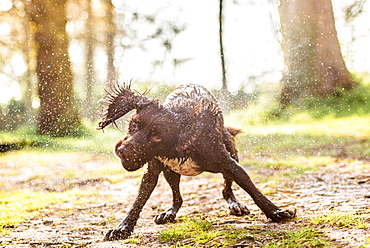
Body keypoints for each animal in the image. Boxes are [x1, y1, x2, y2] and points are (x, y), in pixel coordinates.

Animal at [97, 83, 294, 240]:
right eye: (134, 124)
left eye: (157, 137)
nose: (122, 151)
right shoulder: (152, 170)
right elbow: (138, 201)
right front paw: (123, 228)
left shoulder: (229, 163)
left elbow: (253, 190)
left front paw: (275, 211)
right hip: (171, 172)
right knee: (178, 198)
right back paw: (170, 212)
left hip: (231, 155)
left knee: (226, 189)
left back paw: (235, 204)